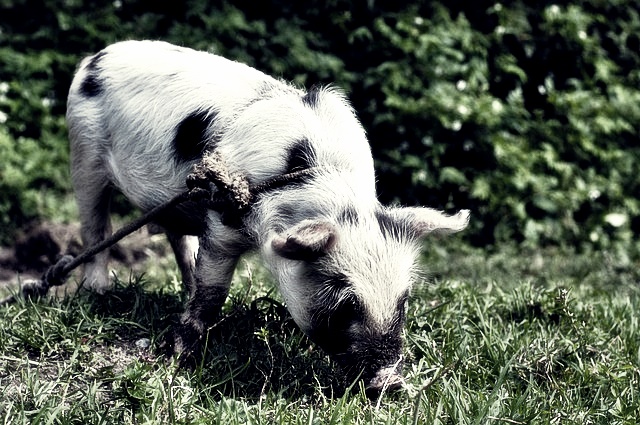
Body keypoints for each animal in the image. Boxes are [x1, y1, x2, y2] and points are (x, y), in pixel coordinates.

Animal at [66, 39, 470, 394]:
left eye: (403, 301)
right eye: (345, 305)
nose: (391, 383)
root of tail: (94, 57)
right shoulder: (223, 221)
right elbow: (212, 291)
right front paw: (181, 355)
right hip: (84, 151)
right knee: (94, 227)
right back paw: (99, 292)